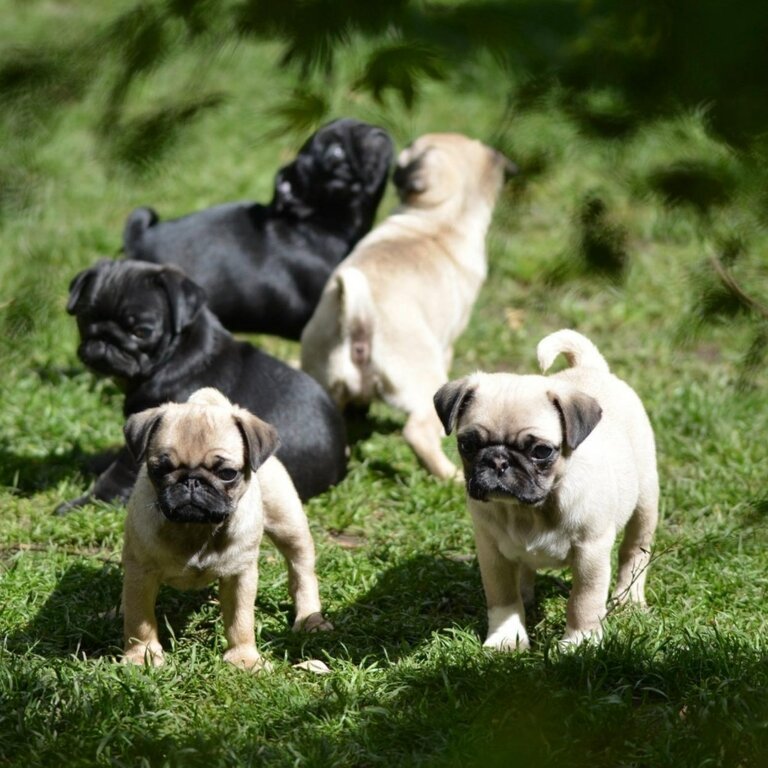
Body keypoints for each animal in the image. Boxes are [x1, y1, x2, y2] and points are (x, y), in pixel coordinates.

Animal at [58, 260, 346, 516]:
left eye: (141, 331)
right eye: (84, 319)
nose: (104, 339)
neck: (175, 354)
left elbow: (116, 476)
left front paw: (84, 504)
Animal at [121, 388, 332, 668]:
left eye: (227, 474)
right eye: (160, 469)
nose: (192, 481)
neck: (195, 529)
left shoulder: (240, 576)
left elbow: (241, 621)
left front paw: (244, 659)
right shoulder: (140, 572)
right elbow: (140, 620)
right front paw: (142, 655)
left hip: (289, 526)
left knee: (302, 570)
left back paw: (310, 618)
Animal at [300, 133, 516, 480]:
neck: (444, 217)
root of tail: (358, 320)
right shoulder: (448, 344)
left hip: (323, 377)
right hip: (426, 382)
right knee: (417, 432)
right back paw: (450, 476)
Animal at [436, 328, 656, 652]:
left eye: (541, 451)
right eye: (468, 444)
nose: (499, 460)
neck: (530, 511)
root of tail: (591, 367)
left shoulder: (591, 552)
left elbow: (583, 601)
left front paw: (580, 642)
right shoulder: (492, 552)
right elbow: (503, 599)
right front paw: (506, 638)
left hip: (645, 501)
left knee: (634, 551)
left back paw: (628, 599)